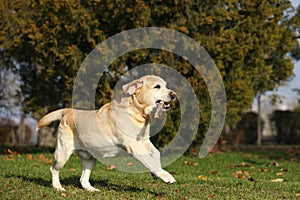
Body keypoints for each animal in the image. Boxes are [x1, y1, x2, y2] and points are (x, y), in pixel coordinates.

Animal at [38, 75, 177, 191]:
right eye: (157, 86)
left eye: (165, 85)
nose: (173, 94)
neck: (137, 112)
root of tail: (67, 111)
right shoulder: (134, 145)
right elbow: (149, 161)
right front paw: (166, 176)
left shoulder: (144, 140)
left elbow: (156, 153)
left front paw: (156, 173)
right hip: (63, 154)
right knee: (54, 169)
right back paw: (58, 187)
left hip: (89, 158)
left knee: (83, 179)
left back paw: (92, 190)